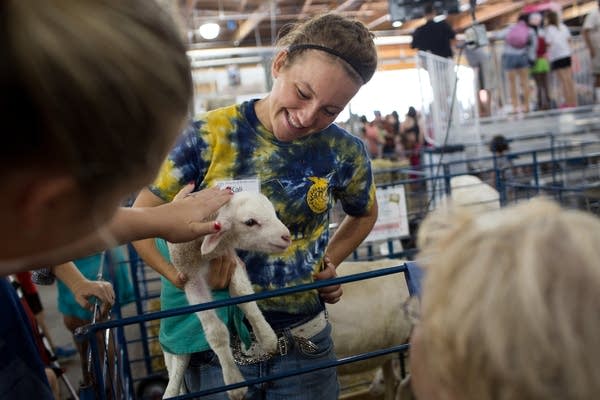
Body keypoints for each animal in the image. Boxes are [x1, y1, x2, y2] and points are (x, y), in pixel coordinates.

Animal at [161, 192, 290, 398]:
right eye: (250, 222)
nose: (287, 237)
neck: (205, 254)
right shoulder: (191, 281)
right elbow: (216, 333)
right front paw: (234, 382)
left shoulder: (230, 260)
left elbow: (245, 297)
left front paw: (267, 337)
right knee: (177, 362)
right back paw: (171, 391)